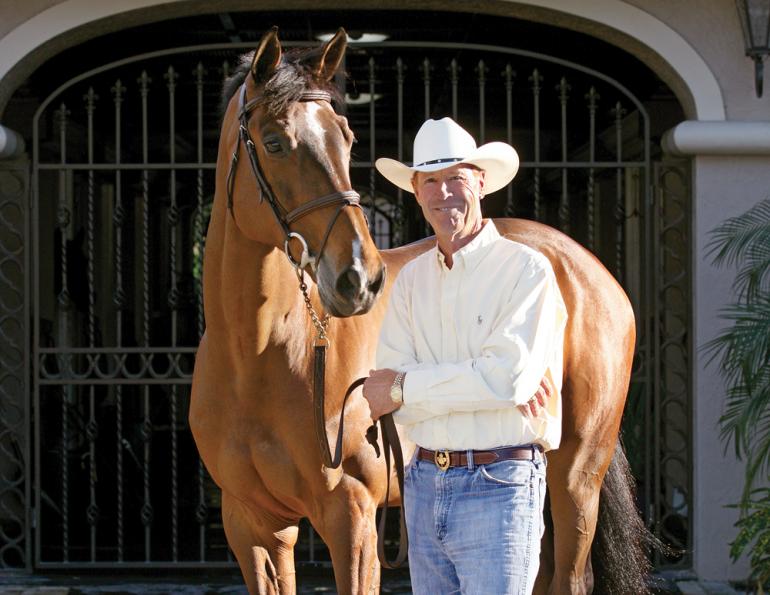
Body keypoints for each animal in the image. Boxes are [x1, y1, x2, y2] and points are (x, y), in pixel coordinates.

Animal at [190, 27, 650, 595]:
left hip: (576, 477)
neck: (258, 356)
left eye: (347, 138)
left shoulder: (352, 516)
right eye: (273, 141)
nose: (359, 277)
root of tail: (590, 270)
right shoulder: (253, 524)